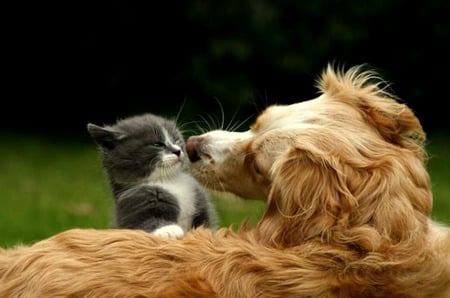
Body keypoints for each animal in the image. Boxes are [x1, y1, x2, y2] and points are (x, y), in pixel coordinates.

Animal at [87, 113, 217, 239]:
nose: (178, 151)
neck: (168, 180)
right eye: (157, 144)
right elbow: (143, 223)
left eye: (176, 140)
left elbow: (205, 225)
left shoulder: (199, 197)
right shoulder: (131, 206)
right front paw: (169, 230)